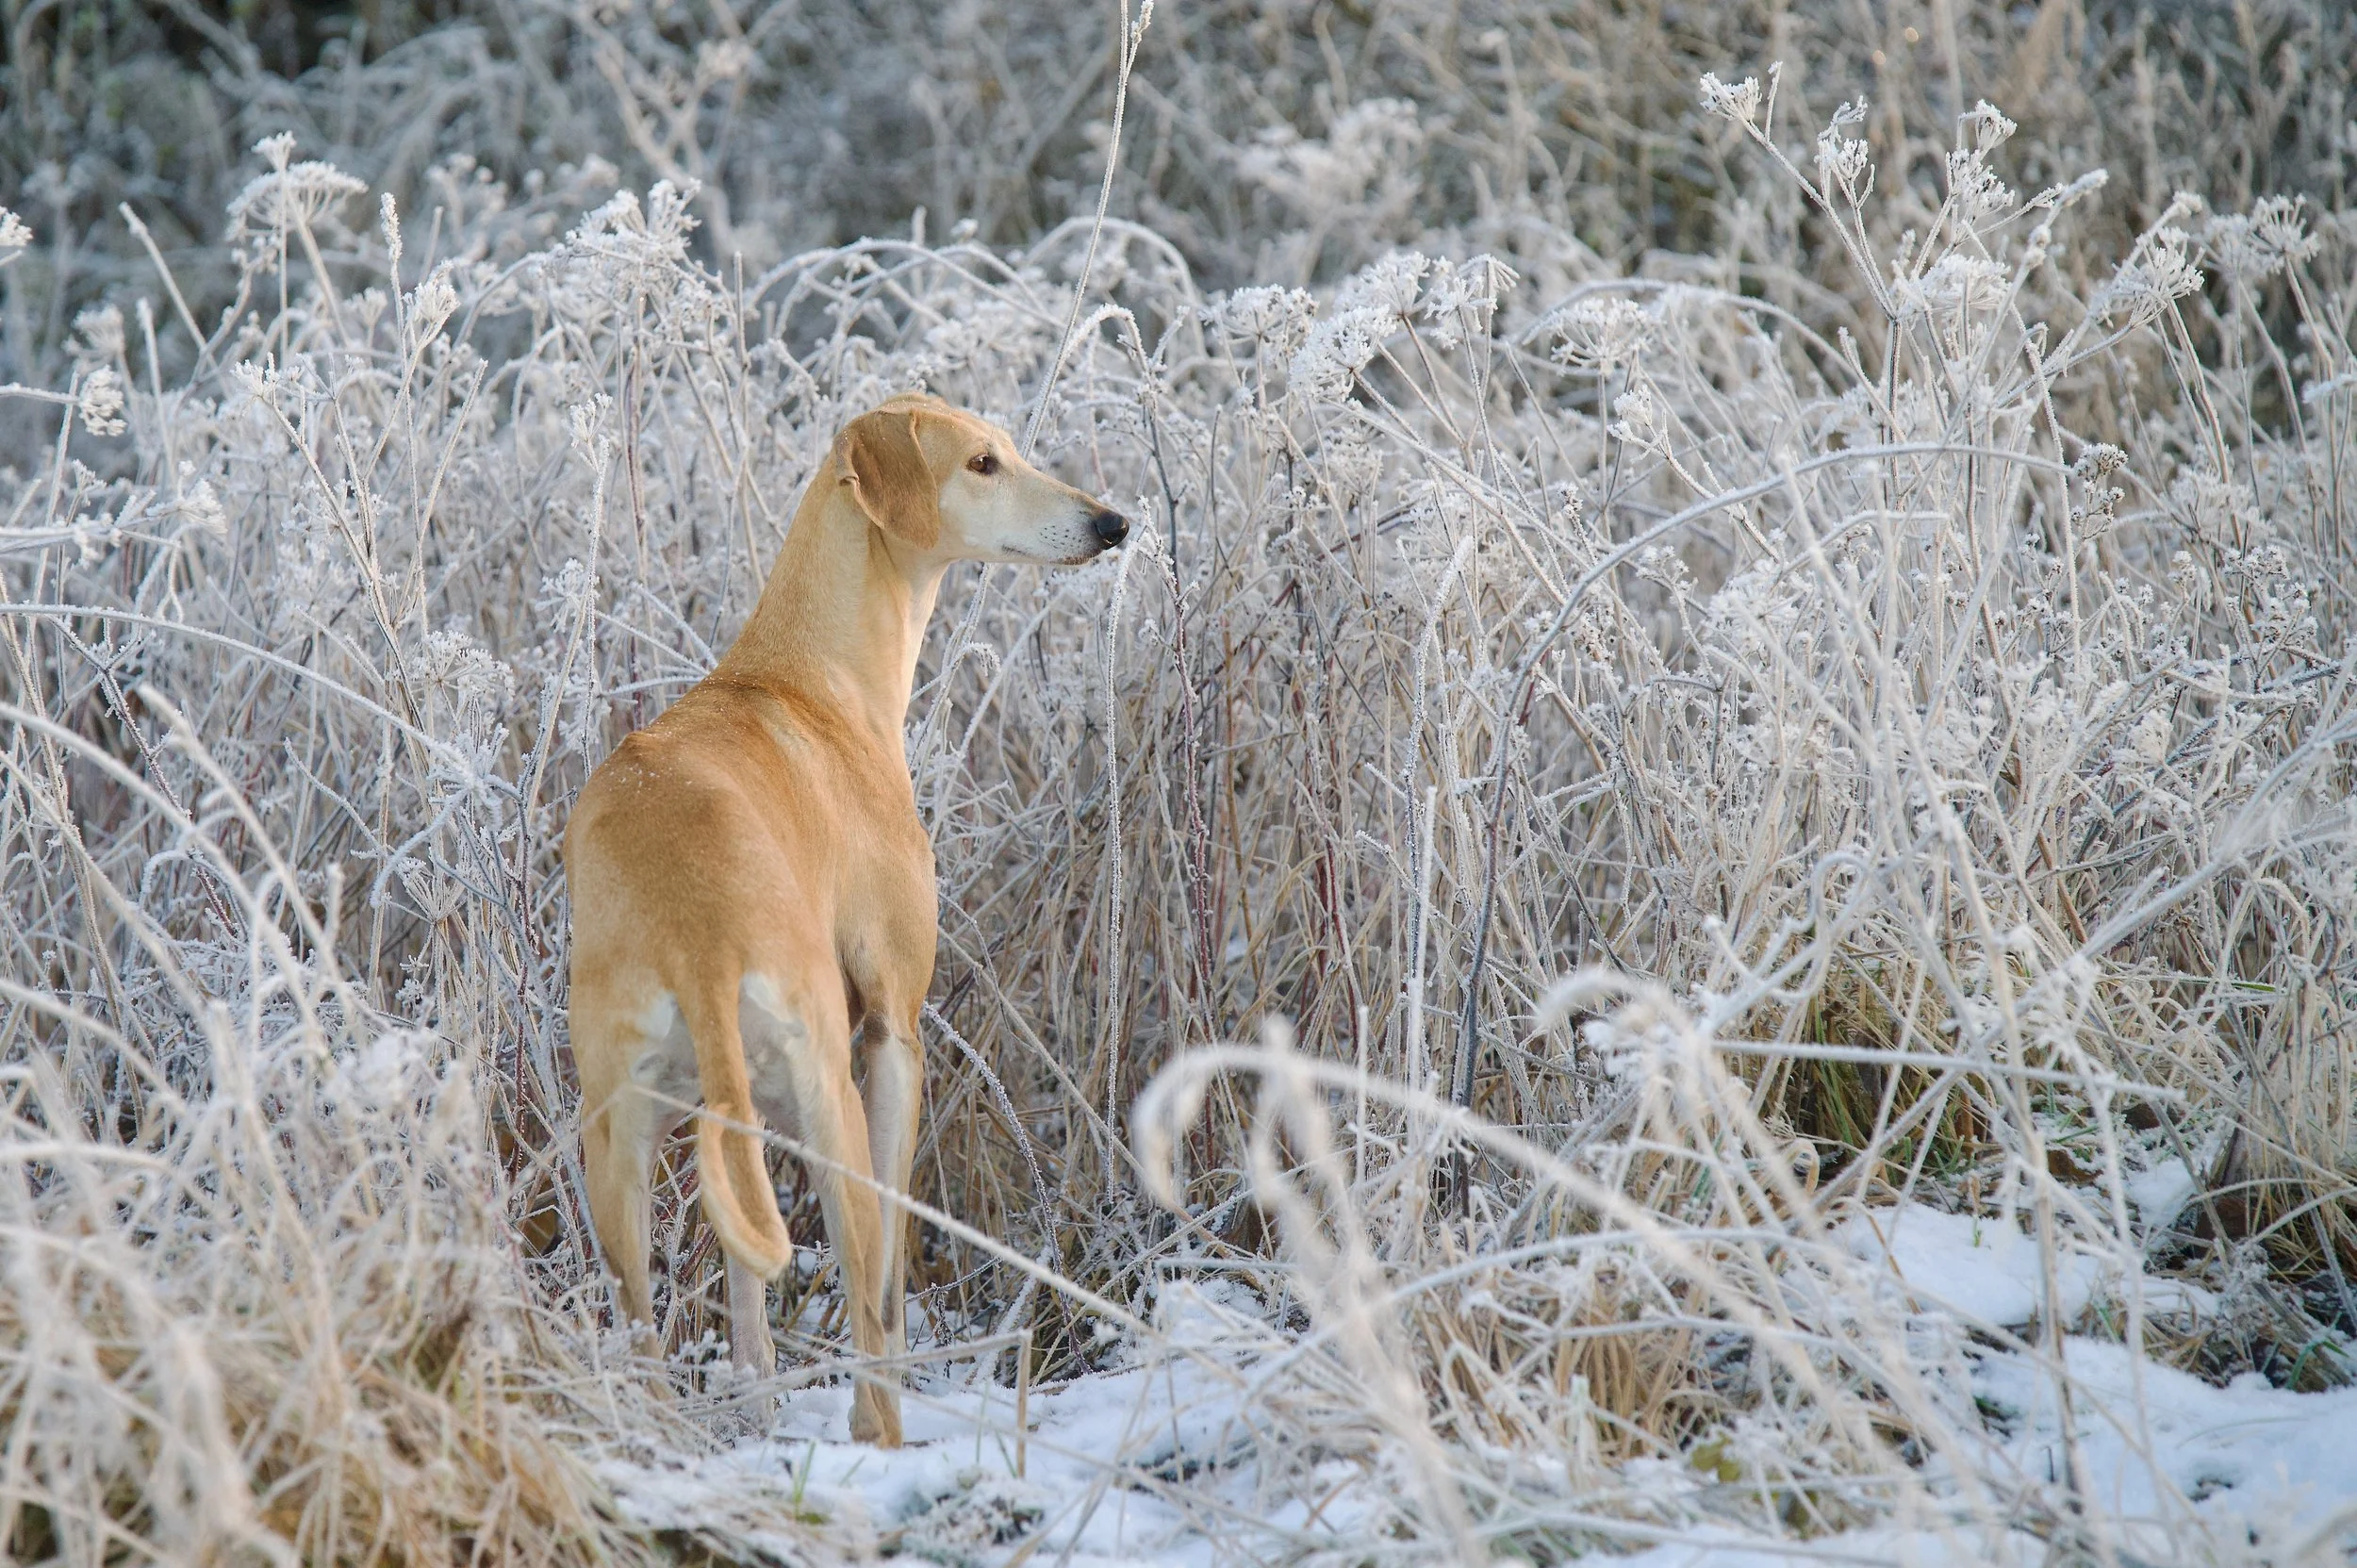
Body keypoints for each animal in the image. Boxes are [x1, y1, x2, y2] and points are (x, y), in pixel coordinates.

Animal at [564, 393, 1126, 1445]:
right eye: (983, 462)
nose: (1111, 524)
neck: (803, 675)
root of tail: (696, 932)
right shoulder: (892, 1030)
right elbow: (895, 1277)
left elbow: (746, 1292)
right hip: (829, 1104)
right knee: (868, 1308)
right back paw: (885, 1437)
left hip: (621, 1142)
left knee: (656, 1324)